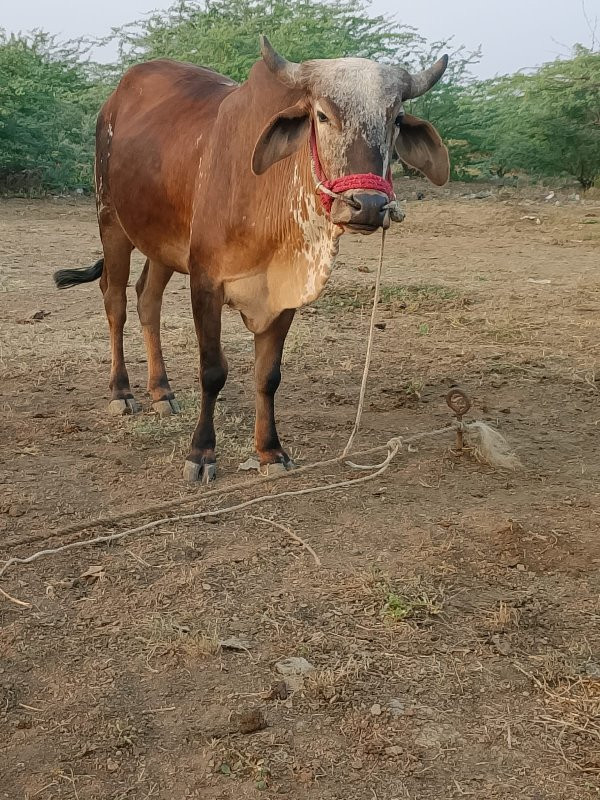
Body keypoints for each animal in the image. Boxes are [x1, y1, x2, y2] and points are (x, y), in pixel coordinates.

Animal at [55, 39, 450, 482]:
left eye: (395, 118)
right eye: (322, 115)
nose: (367, 205)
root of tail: (115, 99)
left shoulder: (284, 293)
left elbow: (268, 375)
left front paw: (270, 451)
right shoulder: (205, 281)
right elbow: (213, 371)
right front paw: (201, 454)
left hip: (163, 244)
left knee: (147, 299)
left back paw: (162, 391)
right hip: (111, 219)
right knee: (116, 301)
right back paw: (122, 392)